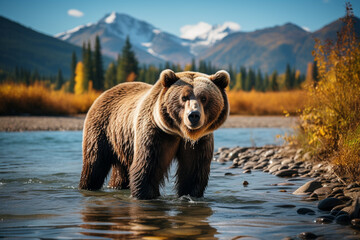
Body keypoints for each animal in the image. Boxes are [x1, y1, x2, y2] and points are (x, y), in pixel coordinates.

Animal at [80, 69, 229, 199]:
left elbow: (193, 172)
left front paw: (190, 194)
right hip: (102, 129)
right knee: (94, 164)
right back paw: (87, 186)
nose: (193, 115)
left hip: (122, 141)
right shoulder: (156, 134)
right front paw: (146, 195)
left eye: (204, 98)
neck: (180, 132)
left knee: (120, 170)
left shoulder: (199, 142)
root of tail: (104, 94)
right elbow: (148, 167)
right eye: (183, 97)